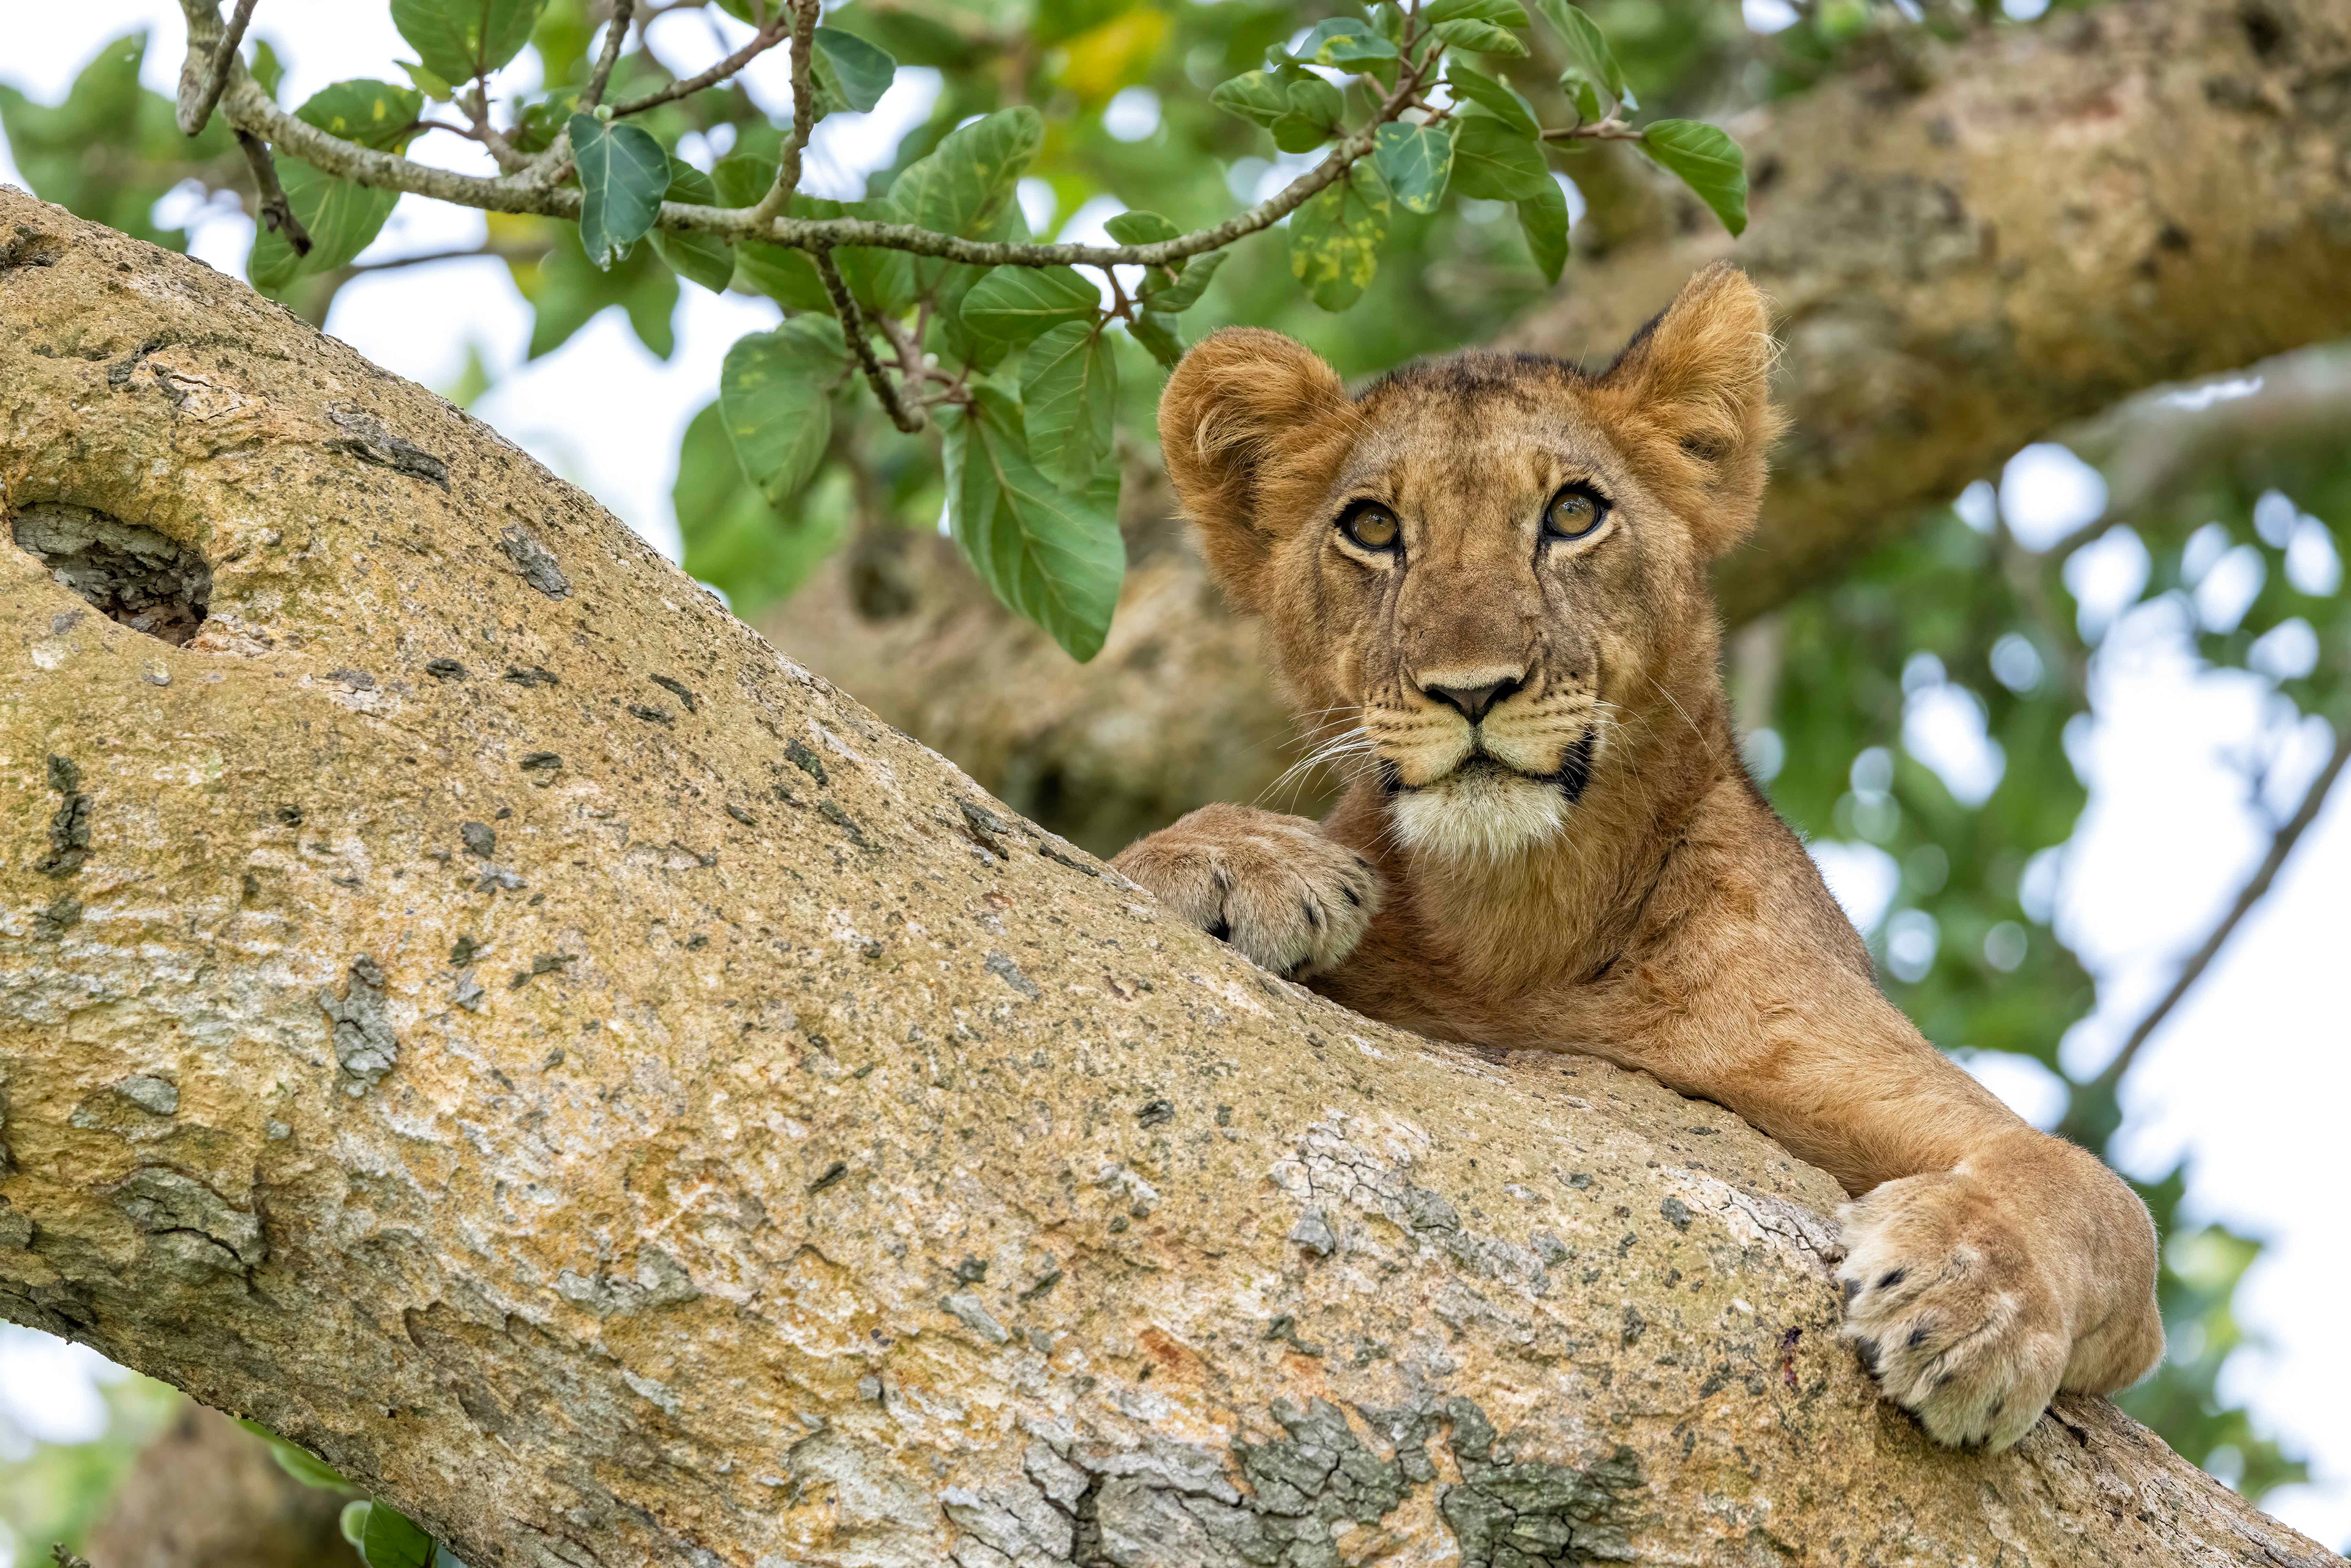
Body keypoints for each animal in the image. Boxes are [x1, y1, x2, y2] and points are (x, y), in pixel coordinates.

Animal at [1110, 264, 2163, 1452]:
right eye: (1372, 527)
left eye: (1573, 513)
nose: (1471, 688)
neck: (1521, 918)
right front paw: (1238, 862)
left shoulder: (1848, 1065)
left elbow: (2094, 1195)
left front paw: (1971, 1299)